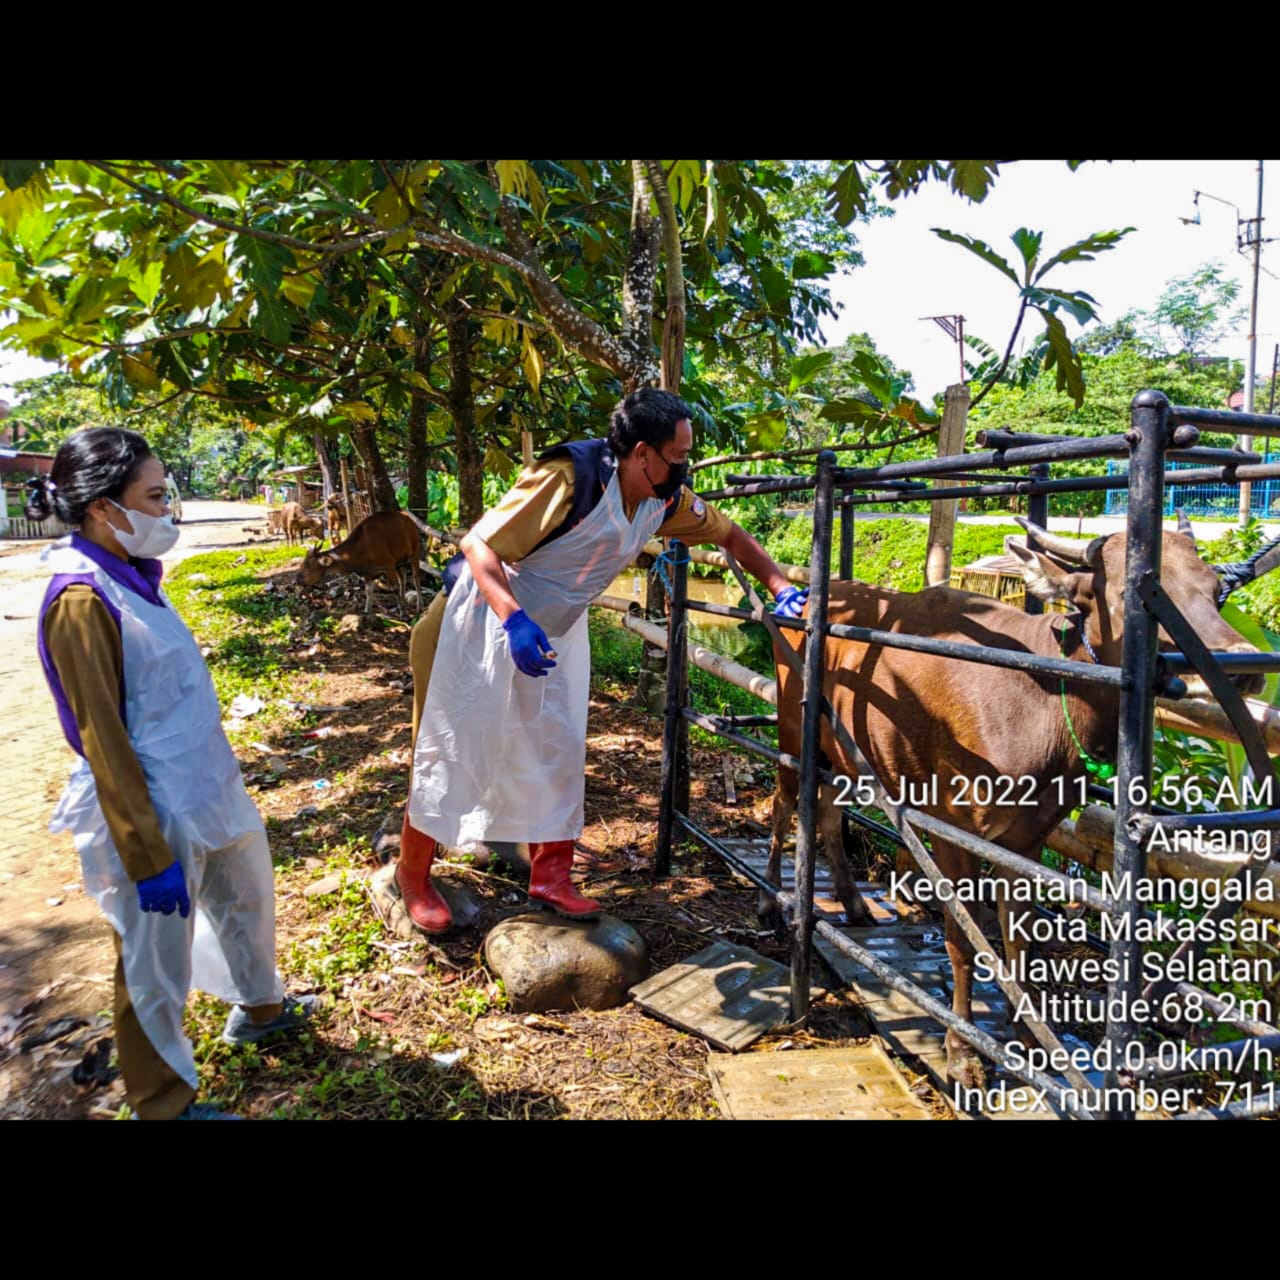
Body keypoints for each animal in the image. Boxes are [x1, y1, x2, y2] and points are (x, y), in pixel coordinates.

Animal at [762, 519, 1264, 1090]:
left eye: (1217, 590)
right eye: (1127, 596)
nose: (1240, 666)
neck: (1043, 710)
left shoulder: (1027, 840)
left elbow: (1018, 939)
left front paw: (1029, 1036)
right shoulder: (949, 827)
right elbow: (963, 937)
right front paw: (963, 1049)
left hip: (839, 751)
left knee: (825, 811)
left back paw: (853, 903)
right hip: (792, 725)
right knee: (784, 801)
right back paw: (772, 896)